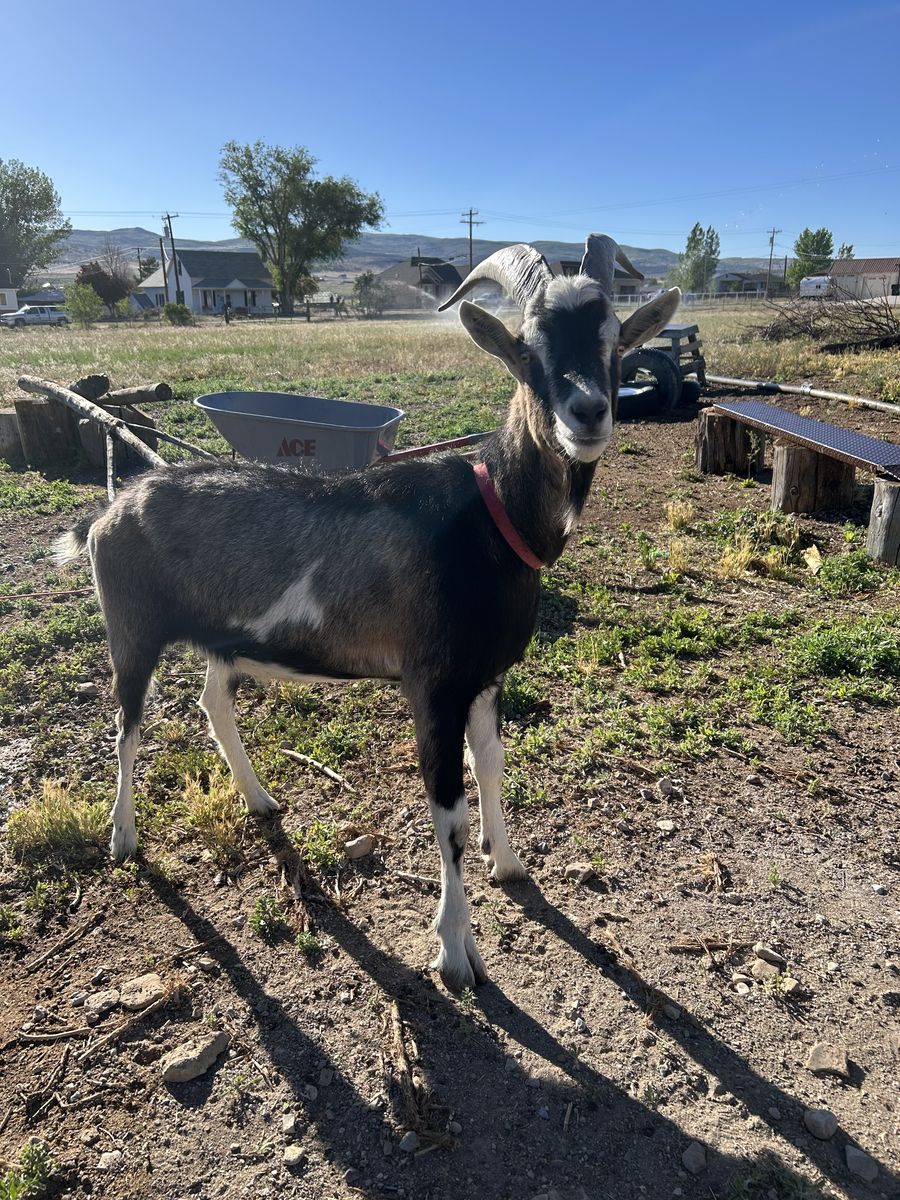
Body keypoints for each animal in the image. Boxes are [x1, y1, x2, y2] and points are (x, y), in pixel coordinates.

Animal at [57, 235, 679, 991]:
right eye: (527, 350)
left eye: (615, 340)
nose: (588, 412)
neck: (491, 515)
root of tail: (112, 509)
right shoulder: (432, 686)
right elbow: (448, 812)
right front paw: (455, 953)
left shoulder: (486, 677)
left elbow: (492, 766)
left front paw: (508, 864)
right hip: (132, 630)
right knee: (125, 727)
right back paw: (122, 838)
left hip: (224, 641)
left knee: (212, 702)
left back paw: (260, 801)